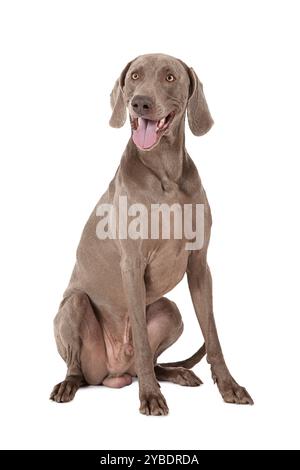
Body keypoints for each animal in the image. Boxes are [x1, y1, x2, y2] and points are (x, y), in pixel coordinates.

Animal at [50, 52, 252, 414]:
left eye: (170, 77)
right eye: (134, 76)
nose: (139, 102)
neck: (166, 175)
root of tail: (113, 372)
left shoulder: (199, 266)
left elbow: (212, 335)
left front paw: (229, 386)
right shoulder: (132, 264)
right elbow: (143, 342)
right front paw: (150, 396)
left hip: (171, 310)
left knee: (158, 357)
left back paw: (177, 373)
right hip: (74, 308)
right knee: (78, 365)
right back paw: (69, 384)